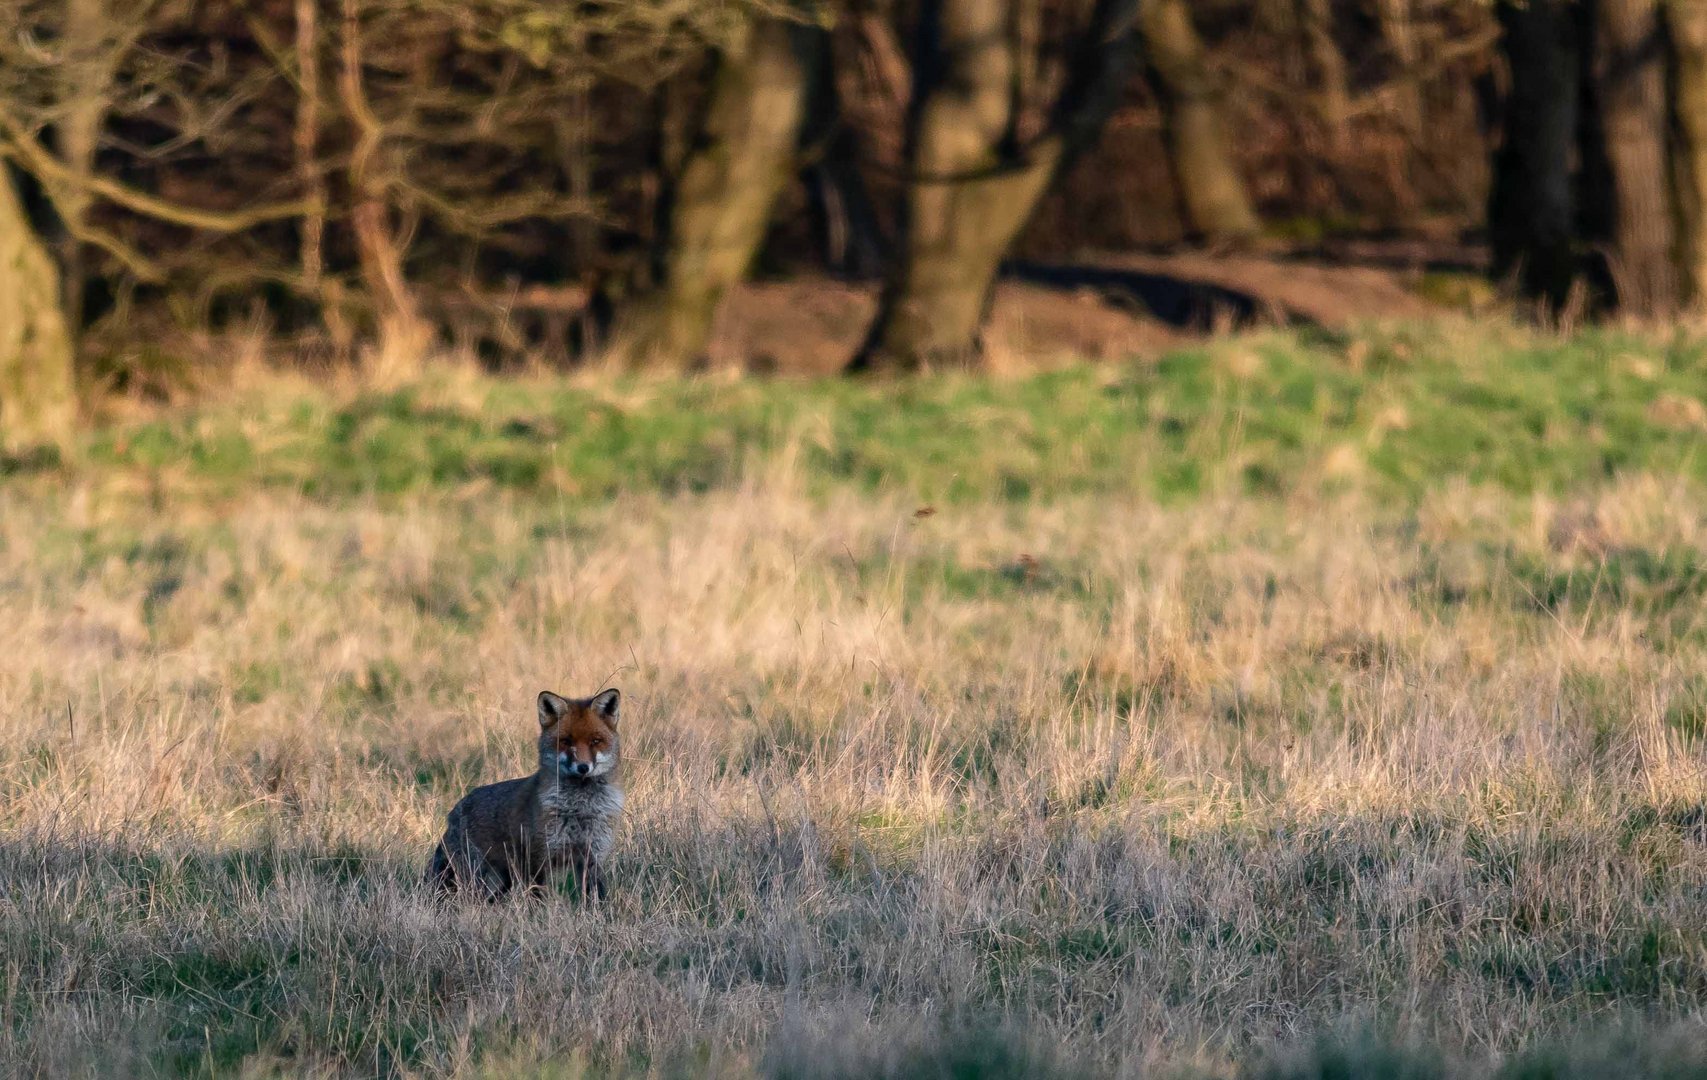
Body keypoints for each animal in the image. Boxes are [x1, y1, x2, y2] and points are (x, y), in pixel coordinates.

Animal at [423, 685, 624, 894]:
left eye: (595, 741)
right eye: (566, 741)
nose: (583, 767)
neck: (580, 808)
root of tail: (452, 814)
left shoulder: (592, 857)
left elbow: (597, 896)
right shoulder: (537, 858)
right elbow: (538, 897)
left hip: (499, 884)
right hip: (475, 879)